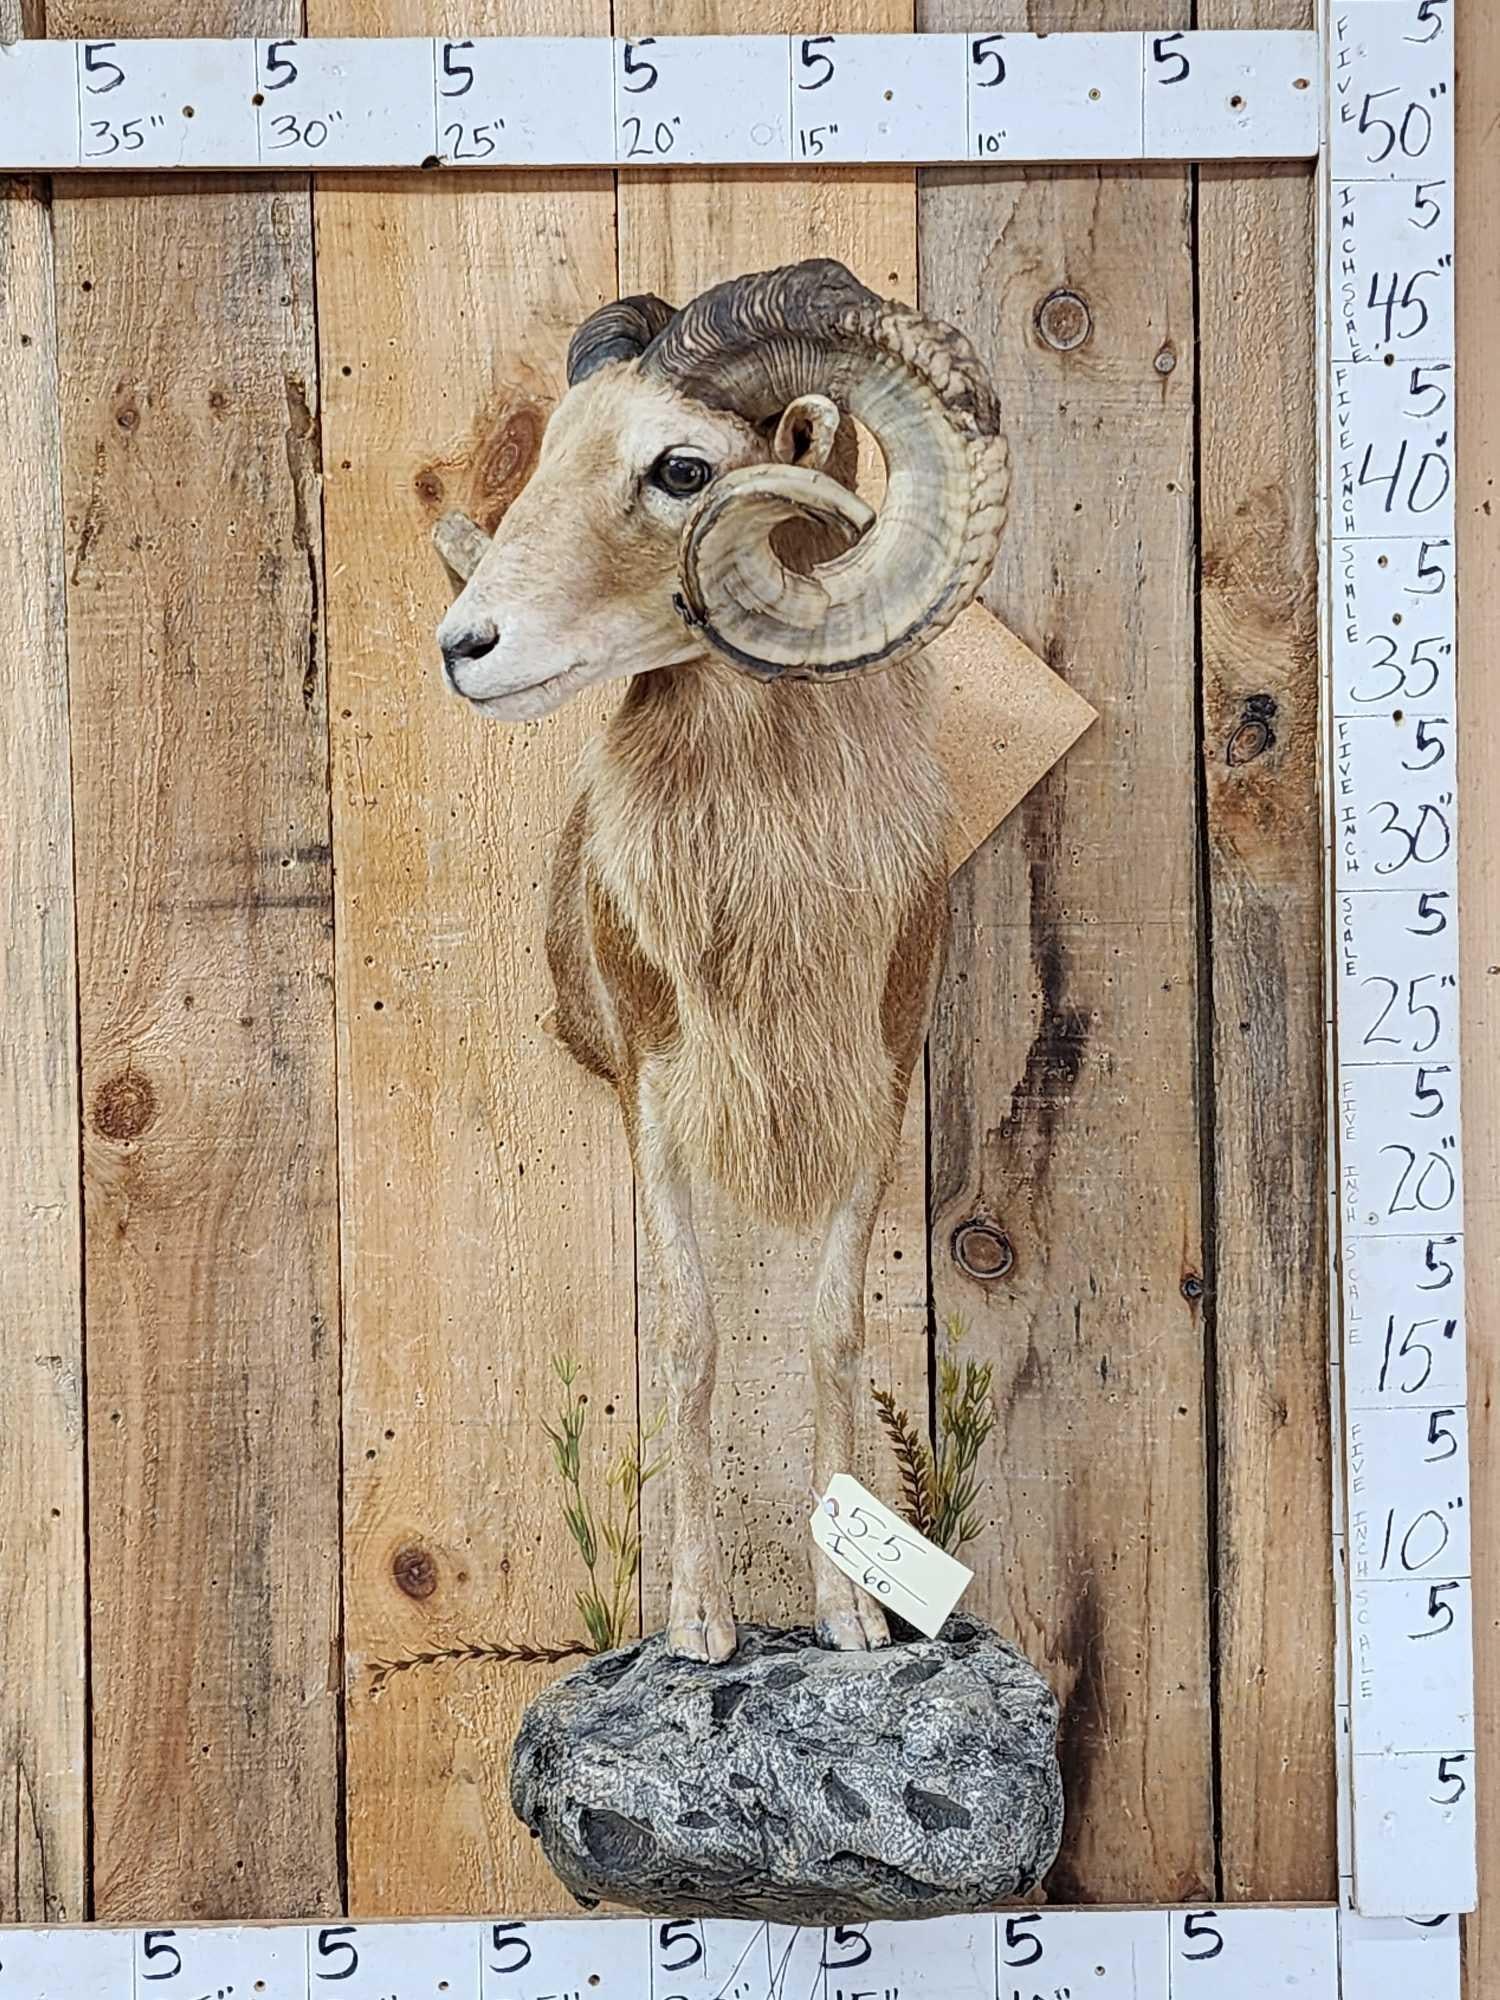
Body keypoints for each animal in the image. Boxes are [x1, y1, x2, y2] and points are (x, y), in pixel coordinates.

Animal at [437, 259, 1009, 1662]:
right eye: (550, 453)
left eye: (681, 468)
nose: (463, 646)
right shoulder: (654, 1094)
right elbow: (693, 1338)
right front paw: (701, 1620)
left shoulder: (878, 1091)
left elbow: (829, 1330)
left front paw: (851, 1616)